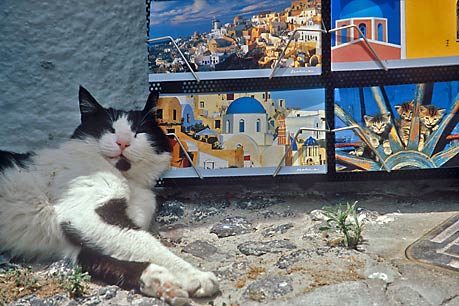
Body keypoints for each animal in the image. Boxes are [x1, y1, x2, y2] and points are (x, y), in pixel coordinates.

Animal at [0, 86, 219, 306]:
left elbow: (106, 260)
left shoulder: (77, 244)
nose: (122, 142)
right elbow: (148, 244)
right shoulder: (88, 213)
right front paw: (195, 276)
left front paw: (161, 283)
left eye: (138, 131)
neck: (129, 182)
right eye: (109, 129)